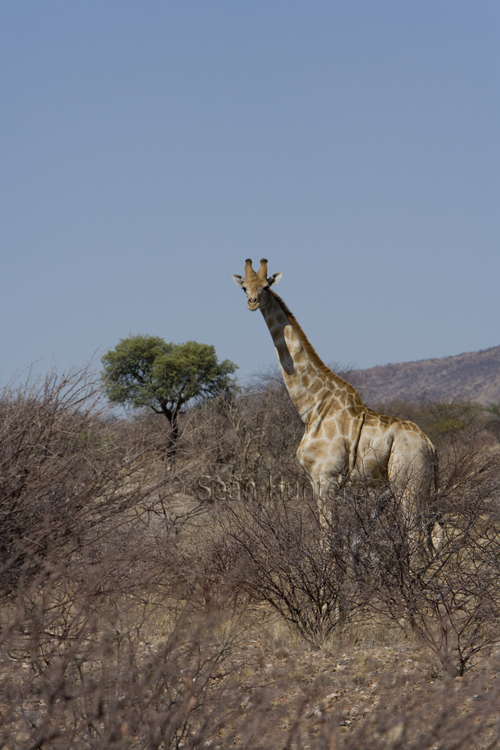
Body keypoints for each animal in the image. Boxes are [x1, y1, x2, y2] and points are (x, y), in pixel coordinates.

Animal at [232, 258, 440, 552]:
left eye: (265, 286)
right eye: (244, 288)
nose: (252, 302)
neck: (312, 406)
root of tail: (431, 446)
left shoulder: (326, 478)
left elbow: (327, 541)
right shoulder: (319, 481)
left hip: (407, 483)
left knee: (414, 536)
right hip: (426, 489)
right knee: (434, 536)